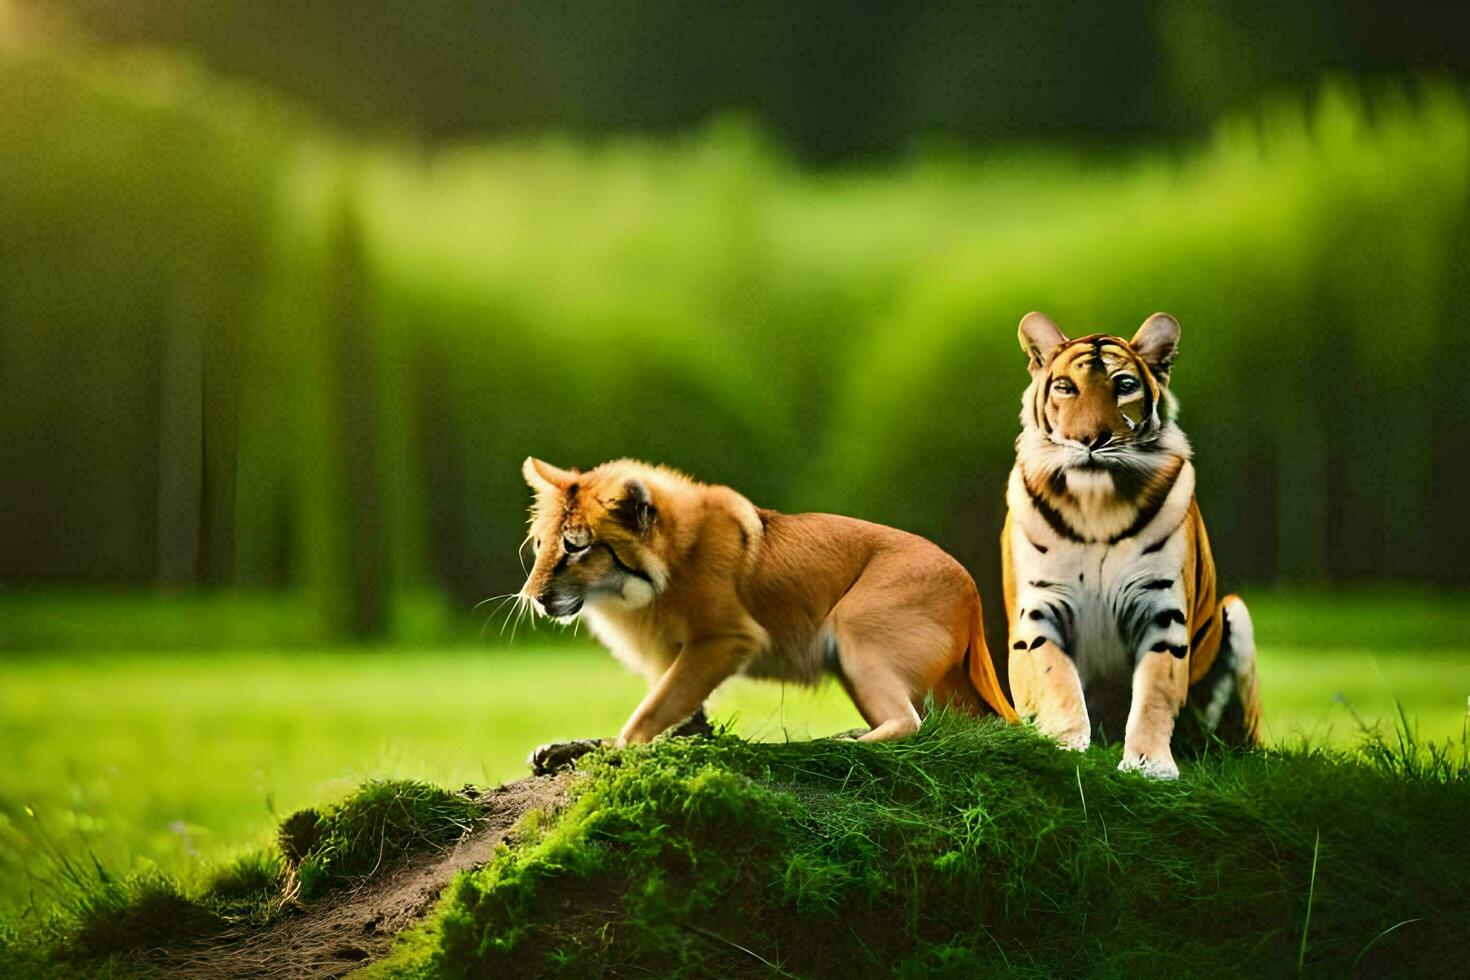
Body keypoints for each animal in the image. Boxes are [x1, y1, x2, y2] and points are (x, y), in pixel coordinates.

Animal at [1005, 310, 1258, 775]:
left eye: (1124, 385)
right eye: (1065, 387)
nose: (1091, 440)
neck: (1095, 504)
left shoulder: (1162, 612)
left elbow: (1155, 692)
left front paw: (1149, 765)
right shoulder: (1039, 611)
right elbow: (1058, 681)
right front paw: (1065, 746)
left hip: (1236, 613)